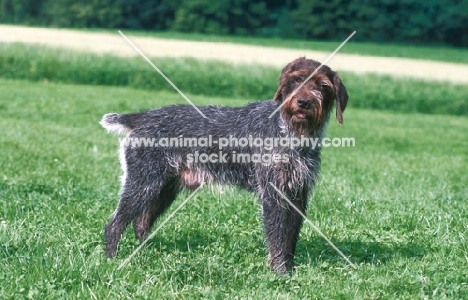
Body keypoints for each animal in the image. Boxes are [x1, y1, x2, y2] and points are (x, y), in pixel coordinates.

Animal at [99, 56, 348, 274]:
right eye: (296, 80)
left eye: (323, 86)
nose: (303, 102)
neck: (291, 132)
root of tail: (141, 117)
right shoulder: (273, 194)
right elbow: (277, 238)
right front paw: (280, 272)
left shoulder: (297, 194)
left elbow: (290, 238)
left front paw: (290, 269)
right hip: (143, 184)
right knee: (114, 224)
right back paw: (112, 259)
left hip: (163, 189)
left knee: (141, 223)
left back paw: (145, 253)